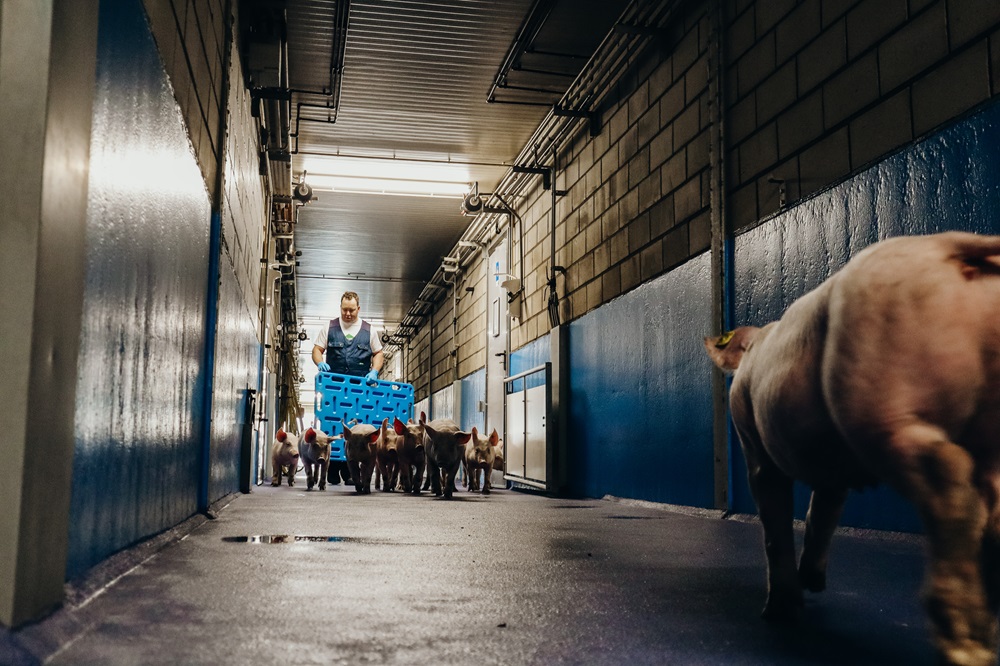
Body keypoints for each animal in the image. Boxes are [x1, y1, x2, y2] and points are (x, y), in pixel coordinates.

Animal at [704, 230, 1000, 664]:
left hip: (881, 393)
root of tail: (950, 244)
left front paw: (778, 612)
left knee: (948, 477)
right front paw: (811, 583)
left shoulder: (752, 442)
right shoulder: (832, 468)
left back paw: (965, 646)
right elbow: (823, 512)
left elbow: (775, 519)